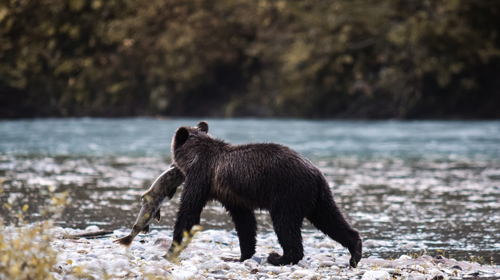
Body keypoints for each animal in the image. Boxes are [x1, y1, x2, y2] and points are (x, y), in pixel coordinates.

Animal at [170, 120, 362, 266]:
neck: (194, 157)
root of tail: (316, 173)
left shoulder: (201, 177)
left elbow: (189, 212)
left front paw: (171, 250)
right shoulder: (233, 195)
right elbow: (244, 222)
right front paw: (241, 256)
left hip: (288, 192)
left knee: (285, 223)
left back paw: (279, 257)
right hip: (319, 197)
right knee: (330, 220)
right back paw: (355, 252)